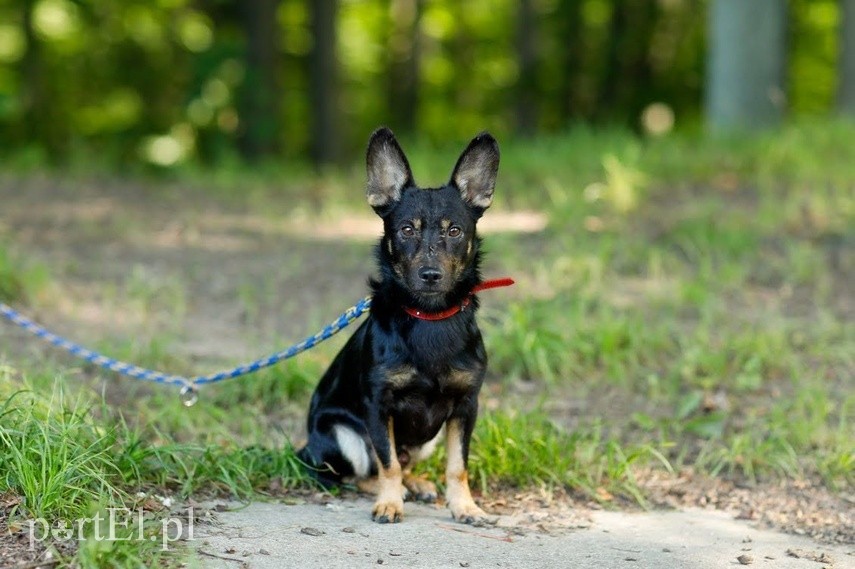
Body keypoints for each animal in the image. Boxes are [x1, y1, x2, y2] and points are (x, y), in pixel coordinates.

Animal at [300, 129, 502, 524]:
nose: (430, 274)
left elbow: (458, 466)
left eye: (455, 231)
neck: (430, 317)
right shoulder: (379, 406)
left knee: (405, 462)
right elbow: (387, 463)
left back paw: (418, 484)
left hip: (428, 439)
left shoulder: (465, 407)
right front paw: (390, 503)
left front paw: (465, 506)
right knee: (358, 473)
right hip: (342, 434)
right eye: (407, 230)